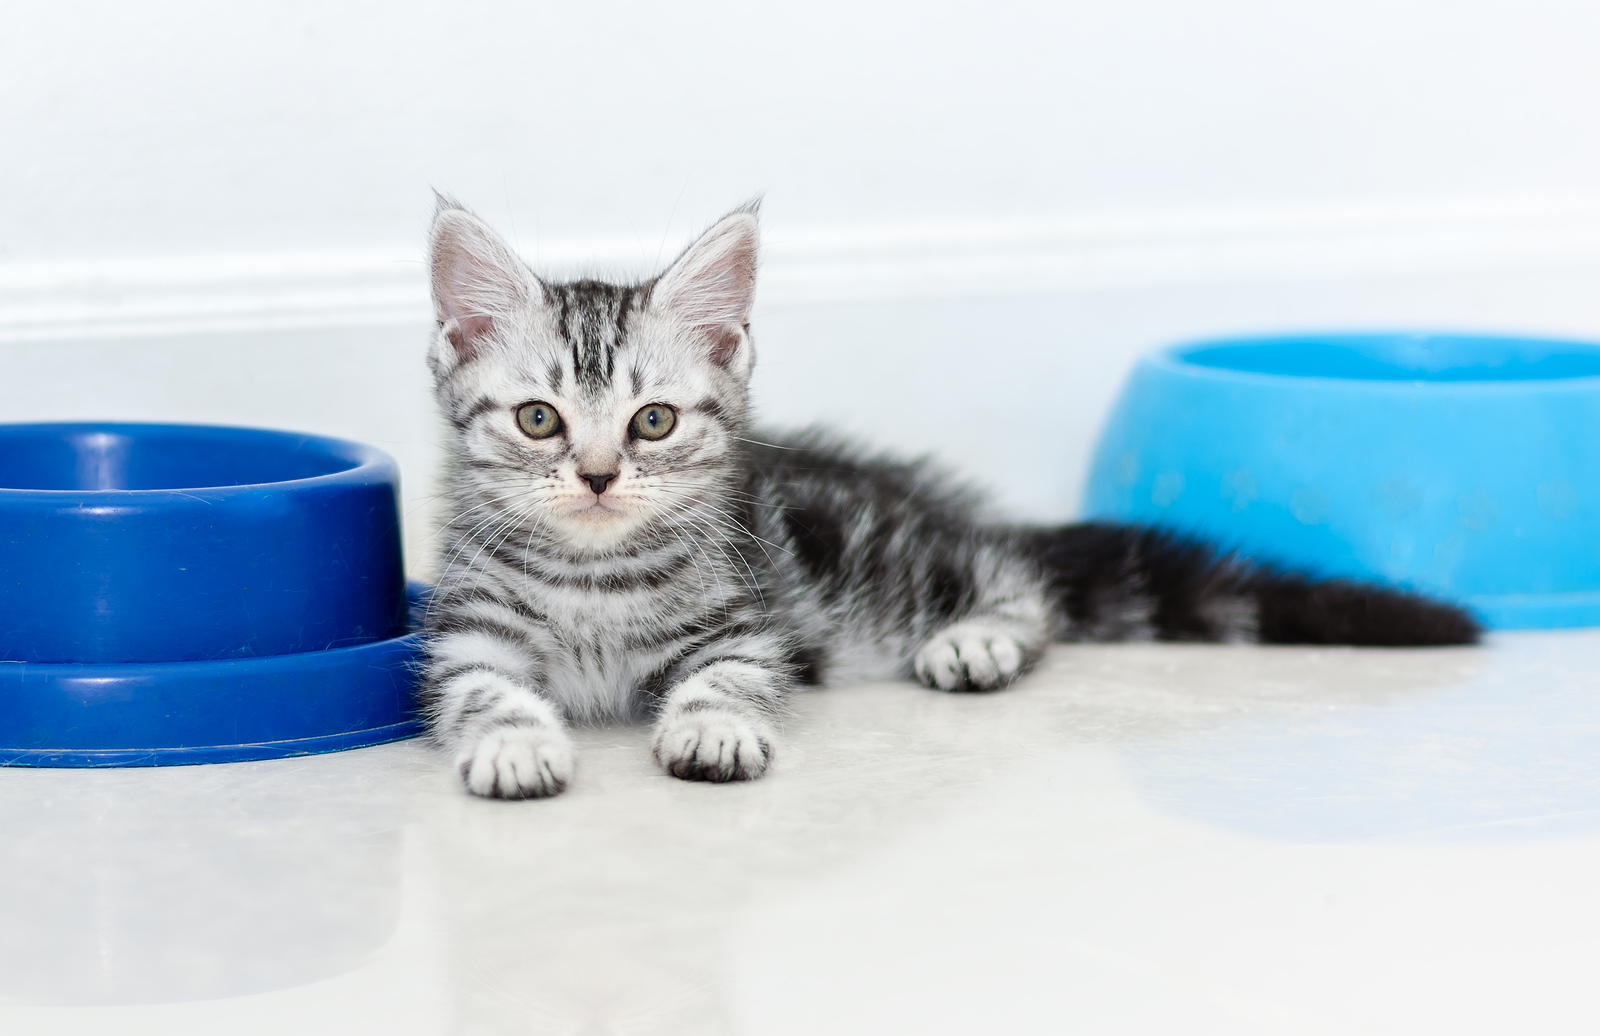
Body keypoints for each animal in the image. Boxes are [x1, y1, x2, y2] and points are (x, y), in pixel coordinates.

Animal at [422, 202, 1472, 802]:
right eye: (539, 419)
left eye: (651, 422)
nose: (599, 476)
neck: (592, 575)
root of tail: (927, 504)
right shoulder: (466, 633)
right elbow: (478, 688)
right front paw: (513, 743)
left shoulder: (746, 620)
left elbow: (730, 676)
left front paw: (711, 725)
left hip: (877, 562)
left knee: (1021, 581)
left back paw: (979, 640)